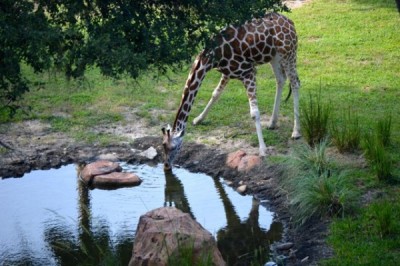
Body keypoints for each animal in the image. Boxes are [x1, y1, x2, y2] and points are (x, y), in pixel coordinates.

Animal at [162, 12, 300, 169]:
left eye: (173, 147)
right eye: (163, 145)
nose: (166, 165)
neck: (212, 56)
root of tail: (290, 21)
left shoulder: (248, 72)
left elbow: (254, 113)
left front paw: (263, 150)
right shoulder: (227, 73)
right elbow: (215, 94)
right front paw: (198, 119)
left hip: (289, 54)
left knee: (295, 83)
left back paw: (296, 131)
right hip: (274, 56)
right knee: (281, 79)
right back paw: (272, 122)